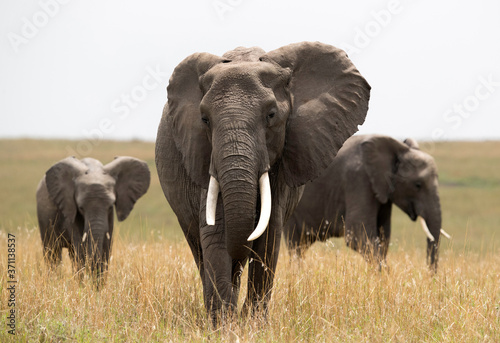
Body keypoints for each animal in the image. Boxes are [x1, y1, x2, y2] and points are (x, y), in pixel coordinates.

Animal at [156, 41, 372, 324]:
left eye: (271, 115)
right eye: (204, 119)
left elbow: (268, 237)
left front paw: (252, 325)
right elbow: (215, 232)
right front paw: (224, 325)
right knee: (199, 250)